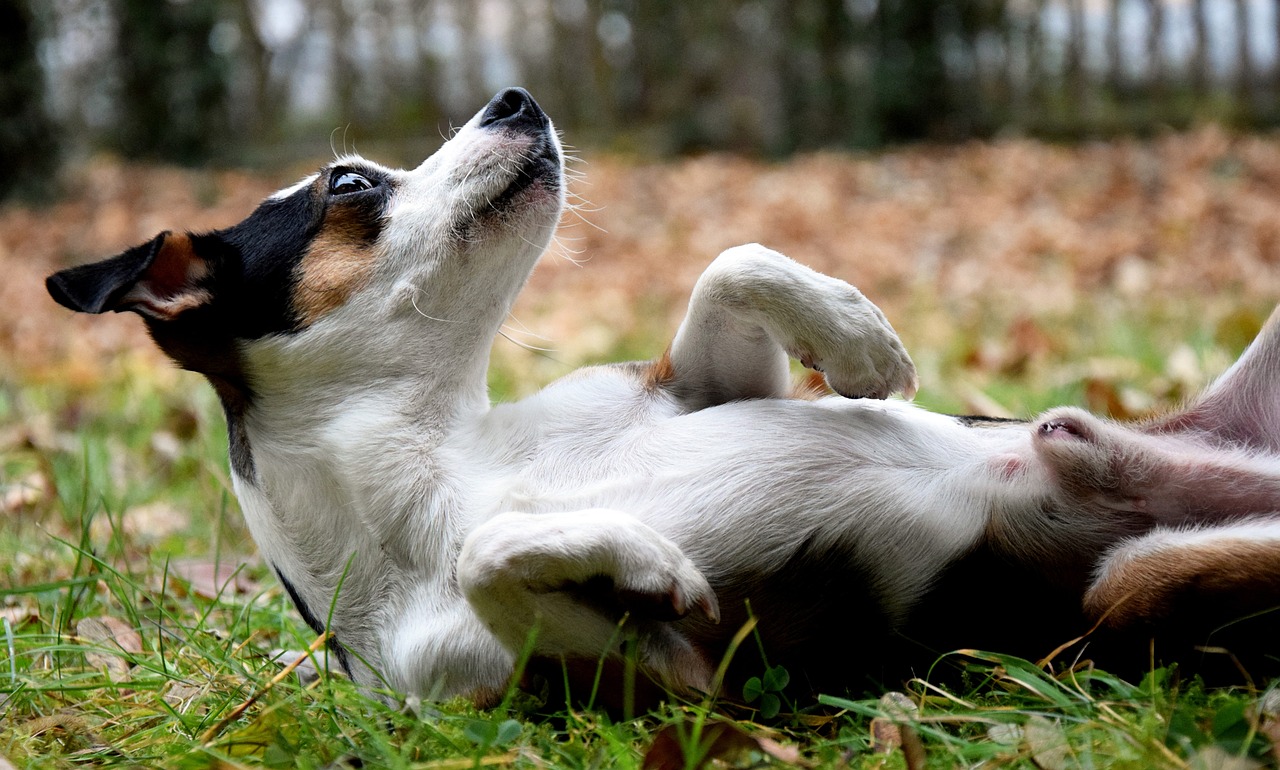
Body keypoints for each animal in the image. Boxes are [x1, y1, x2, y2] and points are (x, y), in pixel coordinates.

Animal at [45, 88, 1280, 700]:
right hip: (1129, 591)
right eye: (349, 183)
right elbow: (492, 556)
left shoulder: (694, 387)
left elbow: (730, 263)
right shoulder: (674, 684)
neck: (450, 453)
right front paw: (635, 556)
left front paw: (861, 345)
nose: (515, 95)